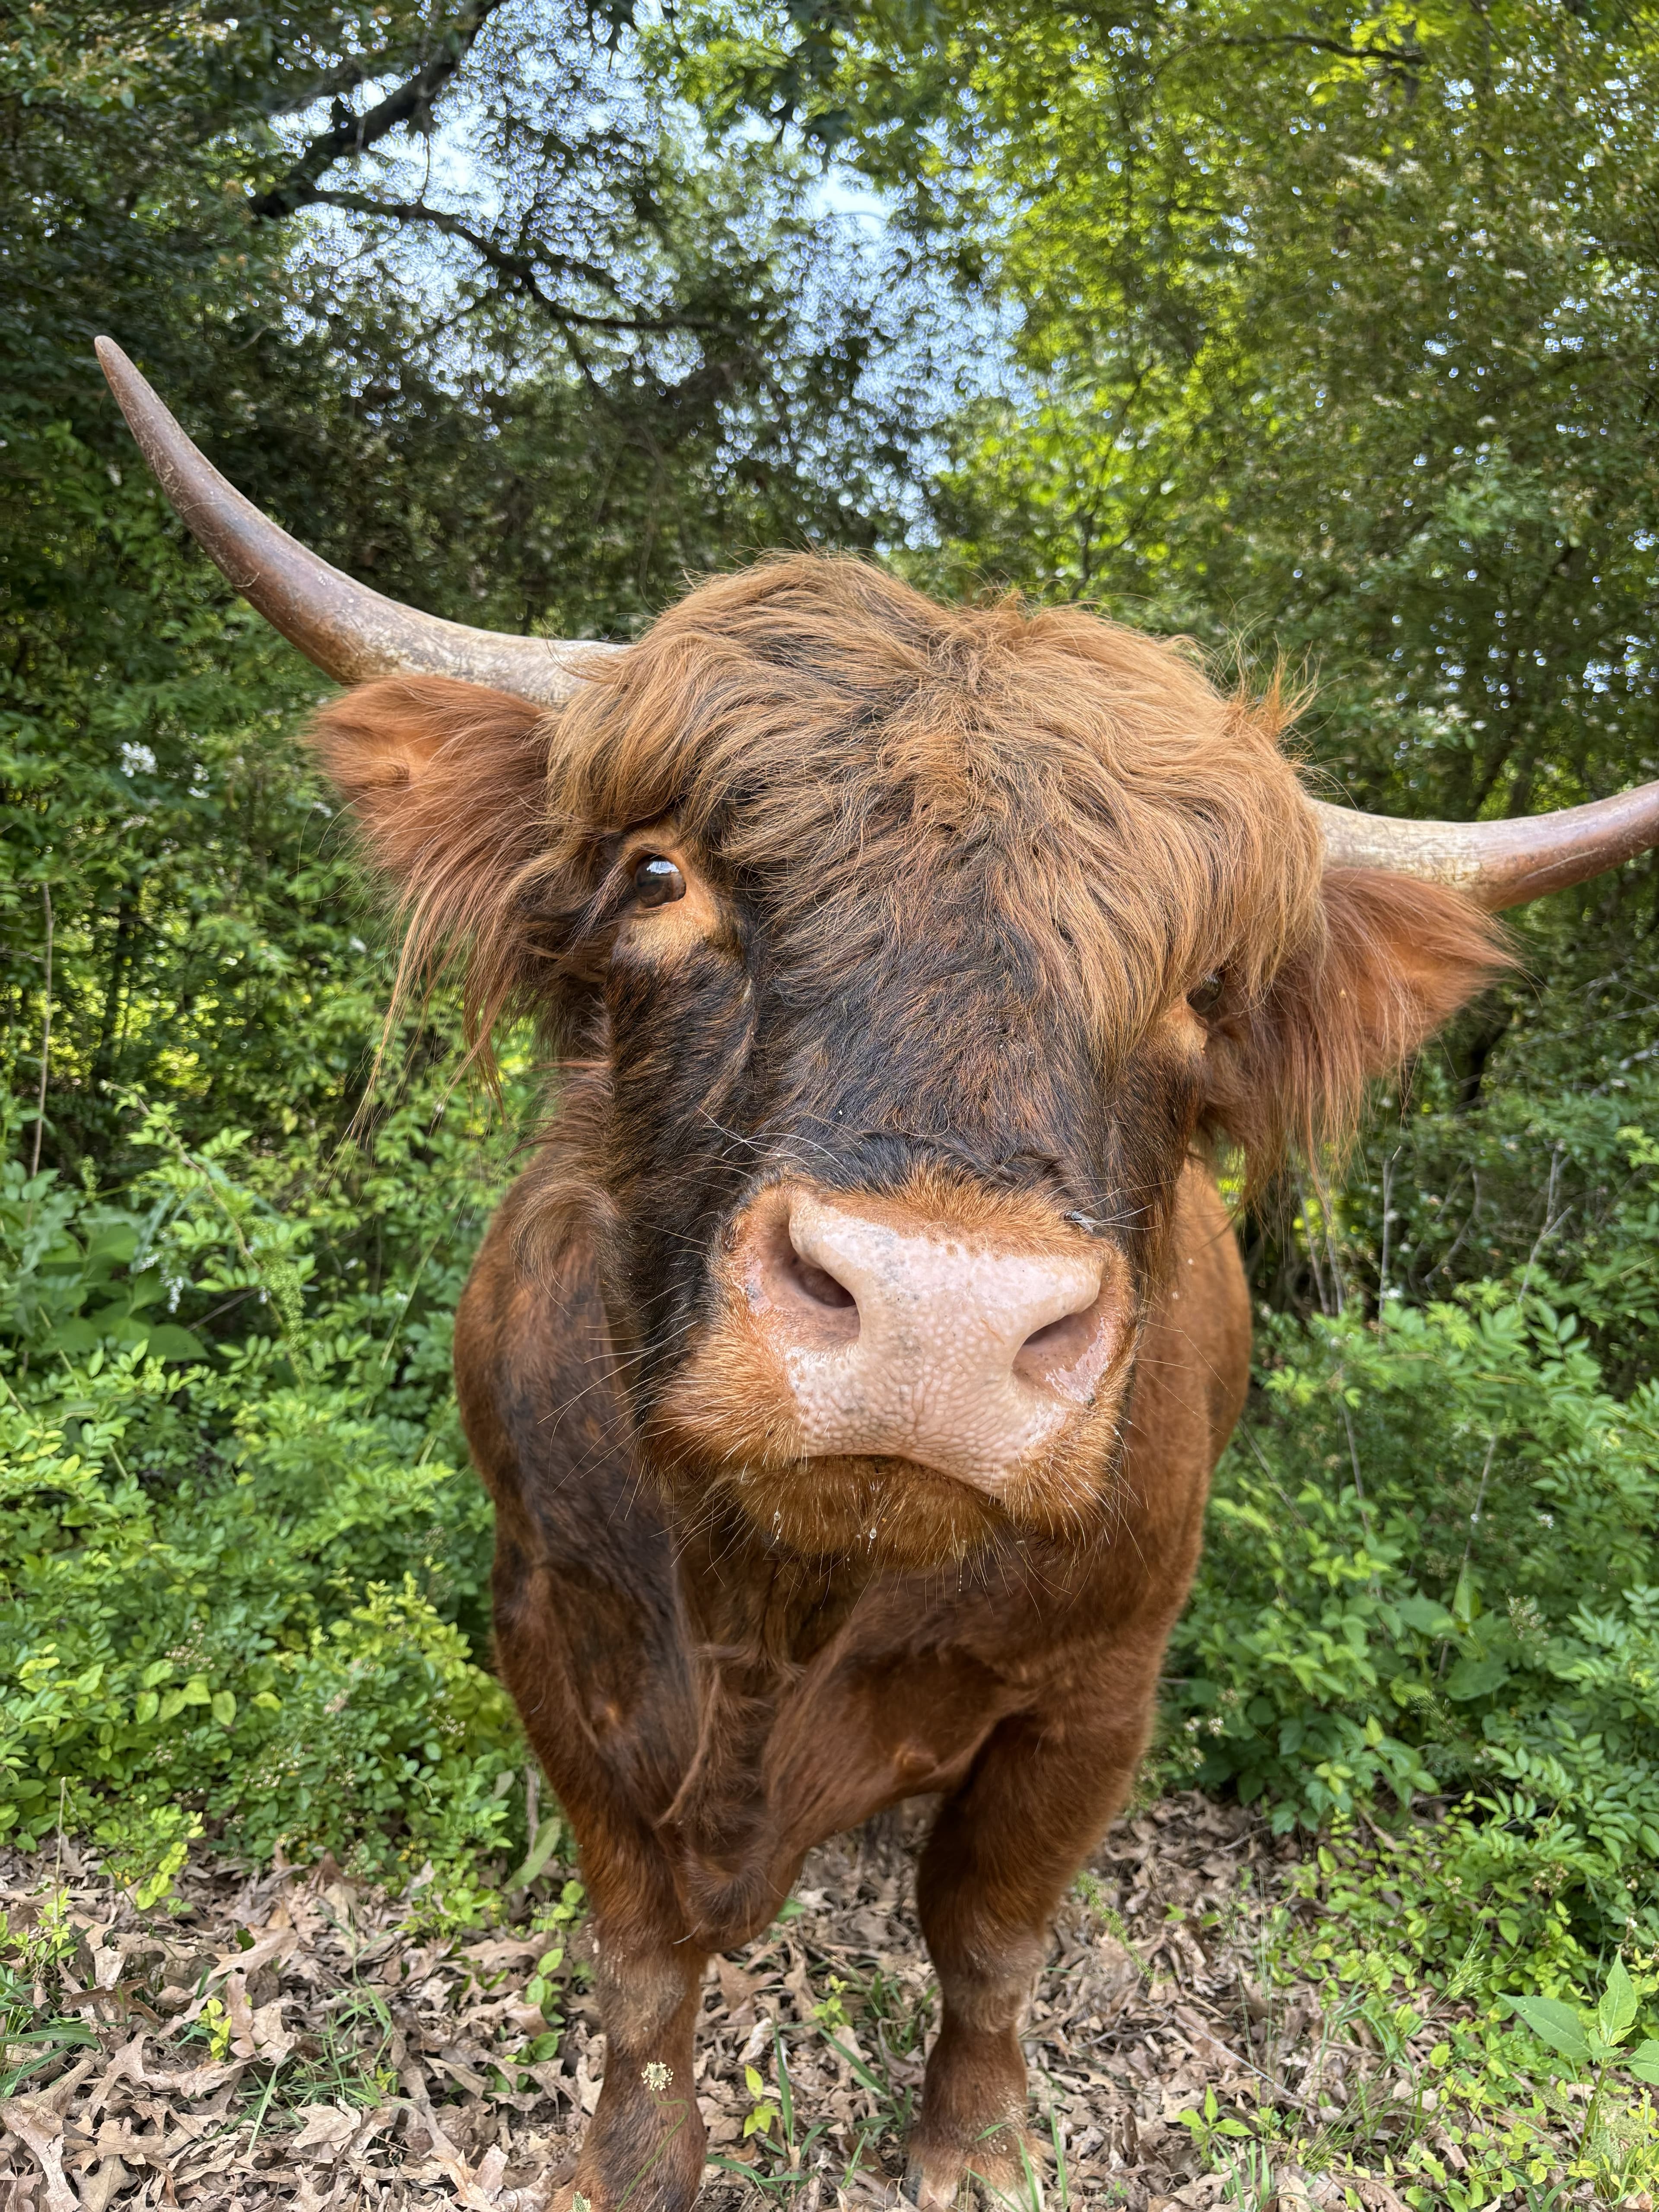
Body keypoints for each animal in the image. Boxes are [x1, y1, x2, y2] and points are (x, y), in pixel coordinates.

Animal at [97, 338, 1659, 2211]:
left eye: (1207, 992)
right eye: (658, 871)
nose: (939, 1317)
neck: (780, 1607)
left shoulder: (1097, 1683)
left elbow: (987, 1931)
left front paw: (976, 2144)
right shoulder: (547, 1617)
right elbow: (641, 1949)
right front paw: (632, 2157)